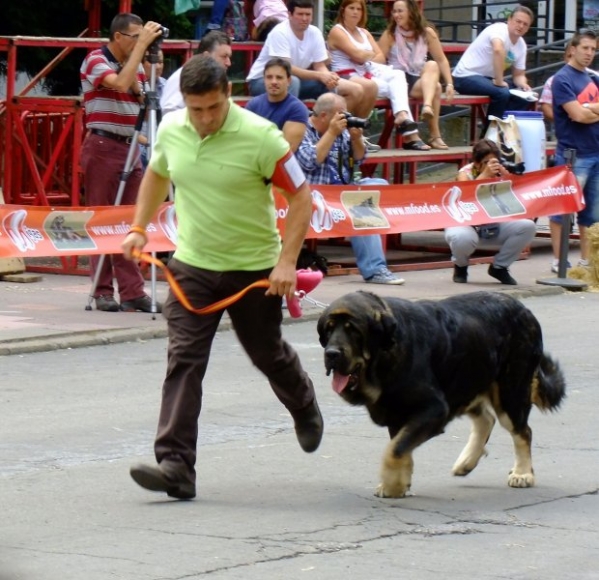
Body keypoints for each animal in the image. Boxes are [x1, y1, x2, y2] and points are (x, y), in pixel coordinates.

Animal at [318, 292, 568, 496]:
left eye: (353, 330)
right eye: (329, 330)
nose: (331, 353)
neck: (384, 356)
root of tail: (525, 310)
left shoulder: (434, 409)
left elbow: (395, 449)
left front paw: (393, 485)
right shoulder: (399, 416)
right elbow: (401, 447)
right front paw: (401, 482)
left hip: (510, 392)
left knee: (522, 431)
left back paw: (523, 473)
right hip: (466, 383)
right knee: (486, 419)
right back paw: (467, 461)